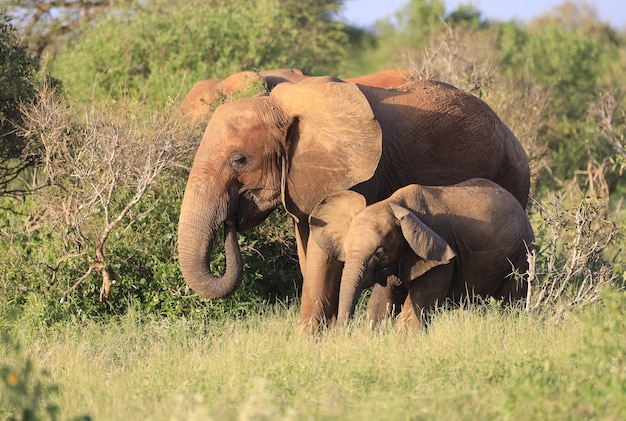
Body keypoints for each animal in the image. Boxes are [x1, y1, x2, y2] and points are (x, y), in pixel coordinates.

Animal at [308, 177, 532, 328]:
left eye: (380, 252)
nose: (340, 331)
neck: (393, 203)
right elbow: (381, 304)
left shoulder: (439, 257)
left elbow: (415, 311)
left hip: (522, 256)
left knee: (511, 303)